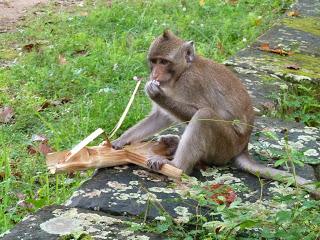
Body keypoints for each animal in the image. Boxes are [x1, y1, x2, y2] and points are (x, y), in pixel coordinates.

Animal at [111, 30, 318, 199]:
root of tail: (243, 147)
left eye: (164, 62)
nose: (154, 74)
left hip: (225, 145)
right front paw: (122, 140)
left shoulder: (191, 83)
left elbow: (196, 111)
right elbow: (160, 117)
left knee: (204, 116)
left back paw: (177, 166)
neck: (181, 73)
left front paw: (157, 95)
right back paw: (172, 143)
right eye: (154, 61)